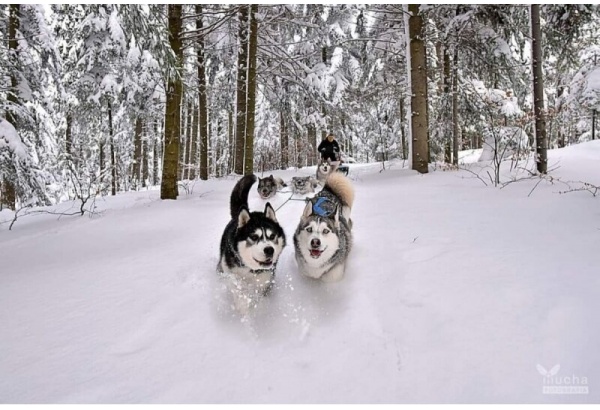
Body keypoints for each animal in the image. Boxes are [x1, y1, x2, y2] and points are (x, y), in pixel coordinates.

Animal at [219, 175, 288, 312]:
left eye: (272, 236)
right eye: (254, 237)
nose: (269, 250)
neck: (251, 270)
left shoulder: (265, 282)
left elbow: (260, 298)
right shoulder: (230, 273)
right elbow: (237, 289)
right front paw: (243, 306)